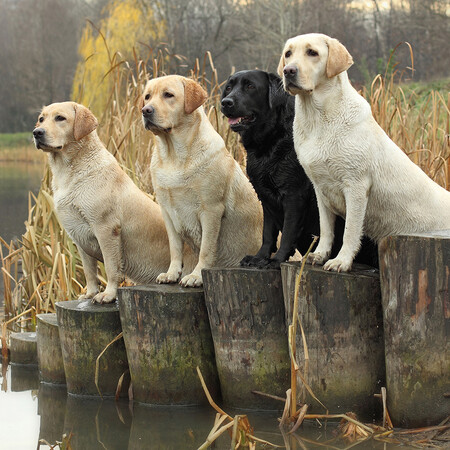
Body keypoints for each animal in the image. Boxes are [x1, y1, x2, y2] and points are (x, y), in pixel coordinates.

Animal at [31, 102, 193, 304]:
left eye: (60, 118)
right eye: (41, 119)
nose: (37, 132)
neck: (70, 172)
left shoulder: (106, 229)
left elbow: (110, 267)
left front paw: (108, 295)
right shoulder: (79, 236)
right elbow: (89, 271)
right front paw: (90, 293)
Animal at [142, 73, 264, 284]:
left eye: (168, 95)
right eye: (147, 97)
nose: (145, 110)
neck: (174, 156)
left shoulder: (211, 210)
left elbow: (207, 249)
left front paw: (196, 276)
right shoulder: (167, 211)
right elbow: (175, 248)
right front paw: (172, 273)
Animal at [221, 68, 380, 268]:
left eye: (250, 86)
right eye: (228, 88)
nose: (225, 102)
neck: (270, 142)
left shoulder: (294, 195)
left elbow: (288, 232)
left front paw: (277, 260)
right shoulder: (265, 197)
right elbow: (268, 233)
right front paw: (259, 257)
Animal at [278, 33, 450, 272]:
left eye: (312, 52)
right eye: (288, 54)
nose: (288, 71)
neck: (318, 118)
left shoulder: (356, 186)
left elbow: (350, 231)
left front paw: (341, 261)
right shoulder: (320, 189)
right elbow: (326, 229)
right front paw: (320, 254)